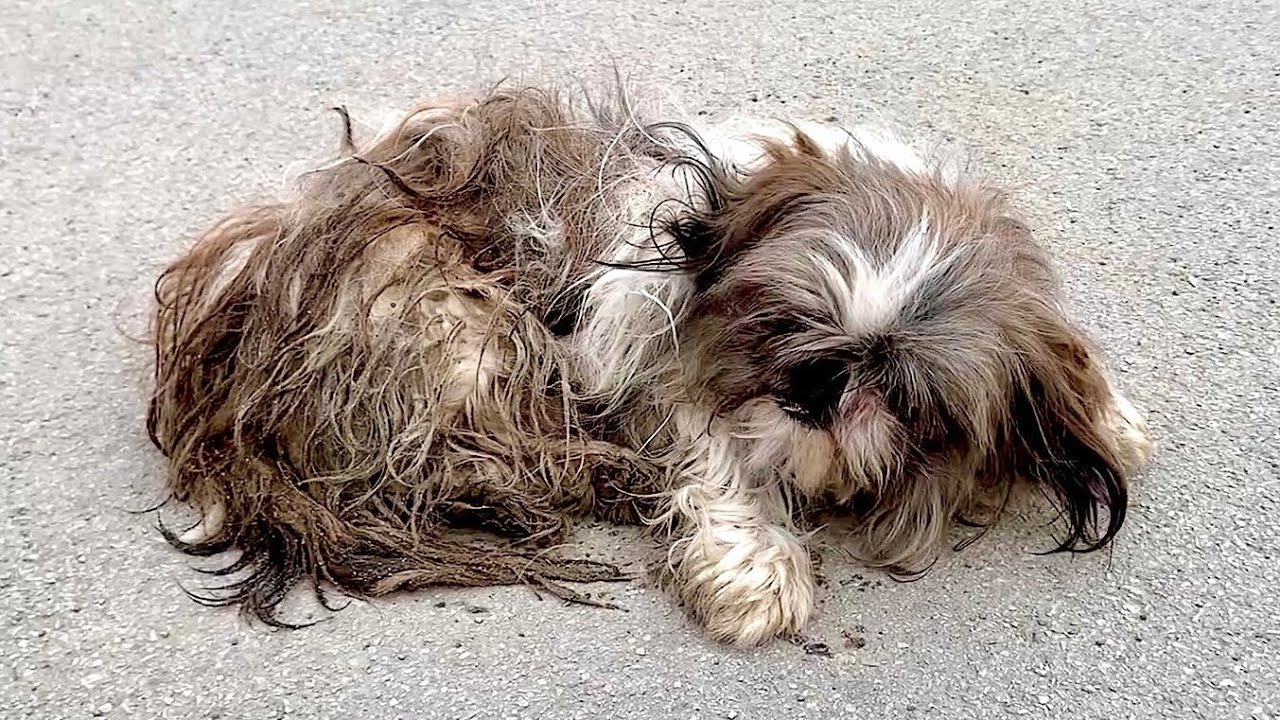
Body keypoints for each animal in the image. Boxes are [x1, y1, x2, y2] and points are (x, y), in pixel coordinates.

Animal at [145, 79, 1157, 645]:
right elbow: (711, 454)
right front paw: (757, 568)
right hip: (464, 326)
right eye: (786, 324)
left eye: (902, 395)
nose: (814, 388)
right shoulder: (644, 361)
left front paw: (1110, 415)